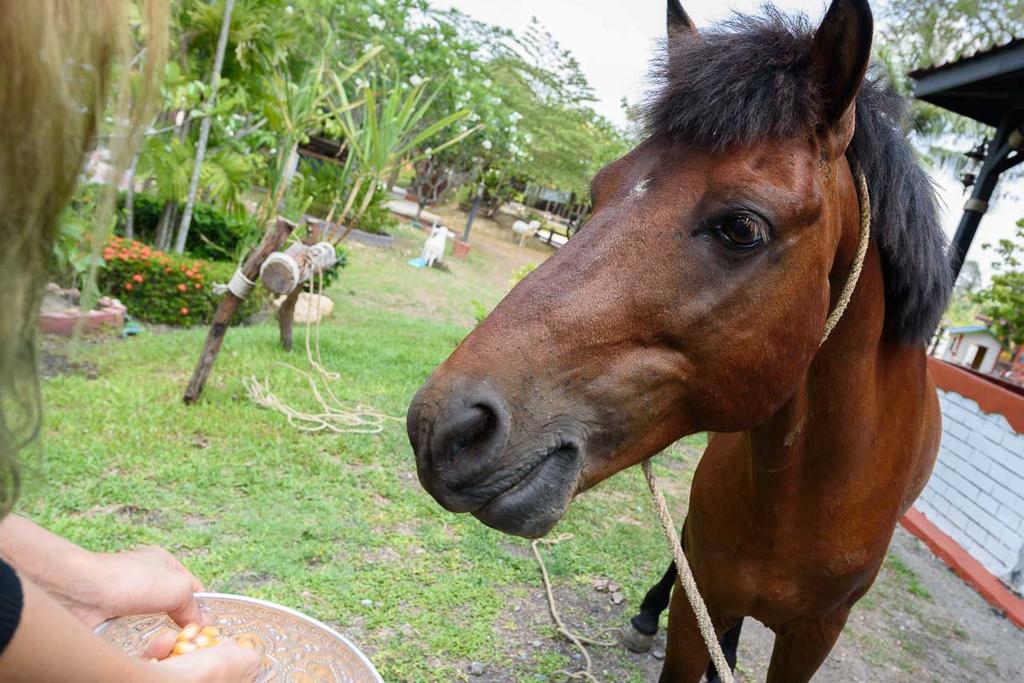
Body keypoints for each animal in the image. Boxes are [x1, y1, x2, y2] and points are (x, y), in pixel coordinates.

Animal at [405, 1, 950, 679]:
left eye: (742, 227)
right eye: (600, 190)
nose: (445, 427)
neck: (807, 499)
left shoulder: (814, 637)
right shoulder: (702, 605)